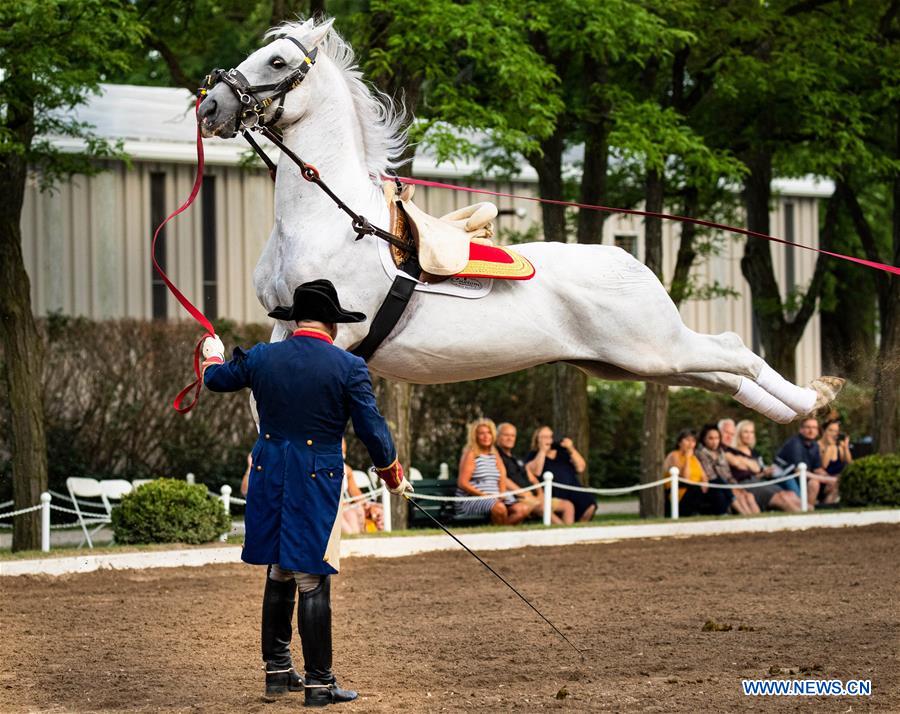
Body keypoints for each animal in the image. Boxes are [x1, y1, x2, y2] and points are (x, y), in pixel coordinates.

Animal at [197, 18, 842, 424]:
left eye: (277, 60)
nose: (210, 106)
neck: (330, 219)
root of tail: (629, 259)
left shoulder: (338, 333)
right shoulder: (284, 327)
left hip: (654, 349)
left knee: (737, 352)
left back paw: (815, 399)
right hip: (633, 364)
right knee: (726, 375)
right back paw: (809, 404)